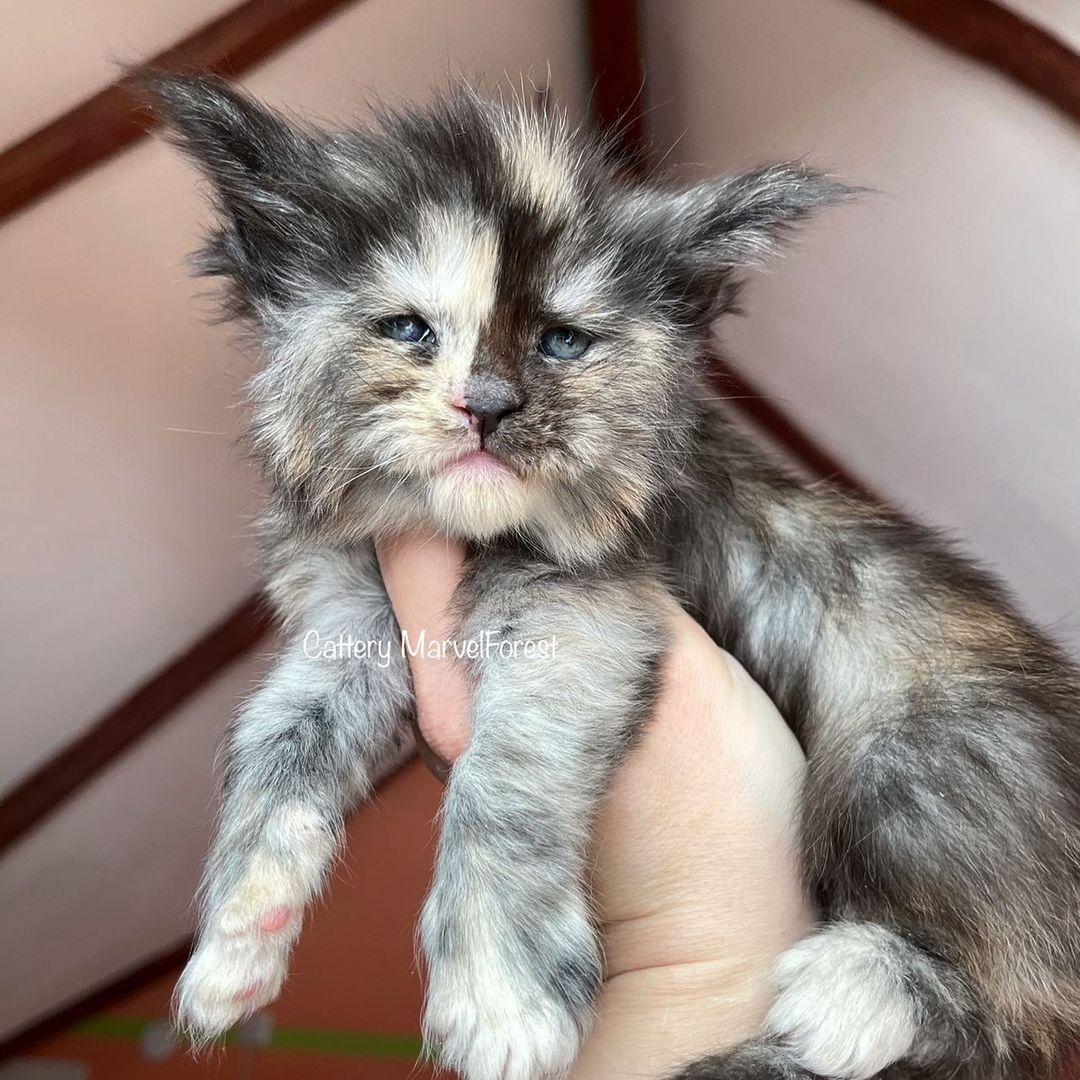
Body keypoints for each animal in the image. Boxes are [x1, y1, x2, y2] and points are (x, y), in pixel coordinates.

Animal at [145, 76, 1080, 1080]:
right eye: (407, 330)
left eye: (562, 342)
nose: (487, 405)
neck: (464, 536)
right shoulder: (348, 625)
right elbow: (273, 745)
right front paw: (237, 943)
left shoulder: (591, 613)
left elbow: (503, 778)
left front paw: (499, 994)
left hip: (907, 761)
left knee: (1020, 1018)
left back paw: (858, 993)